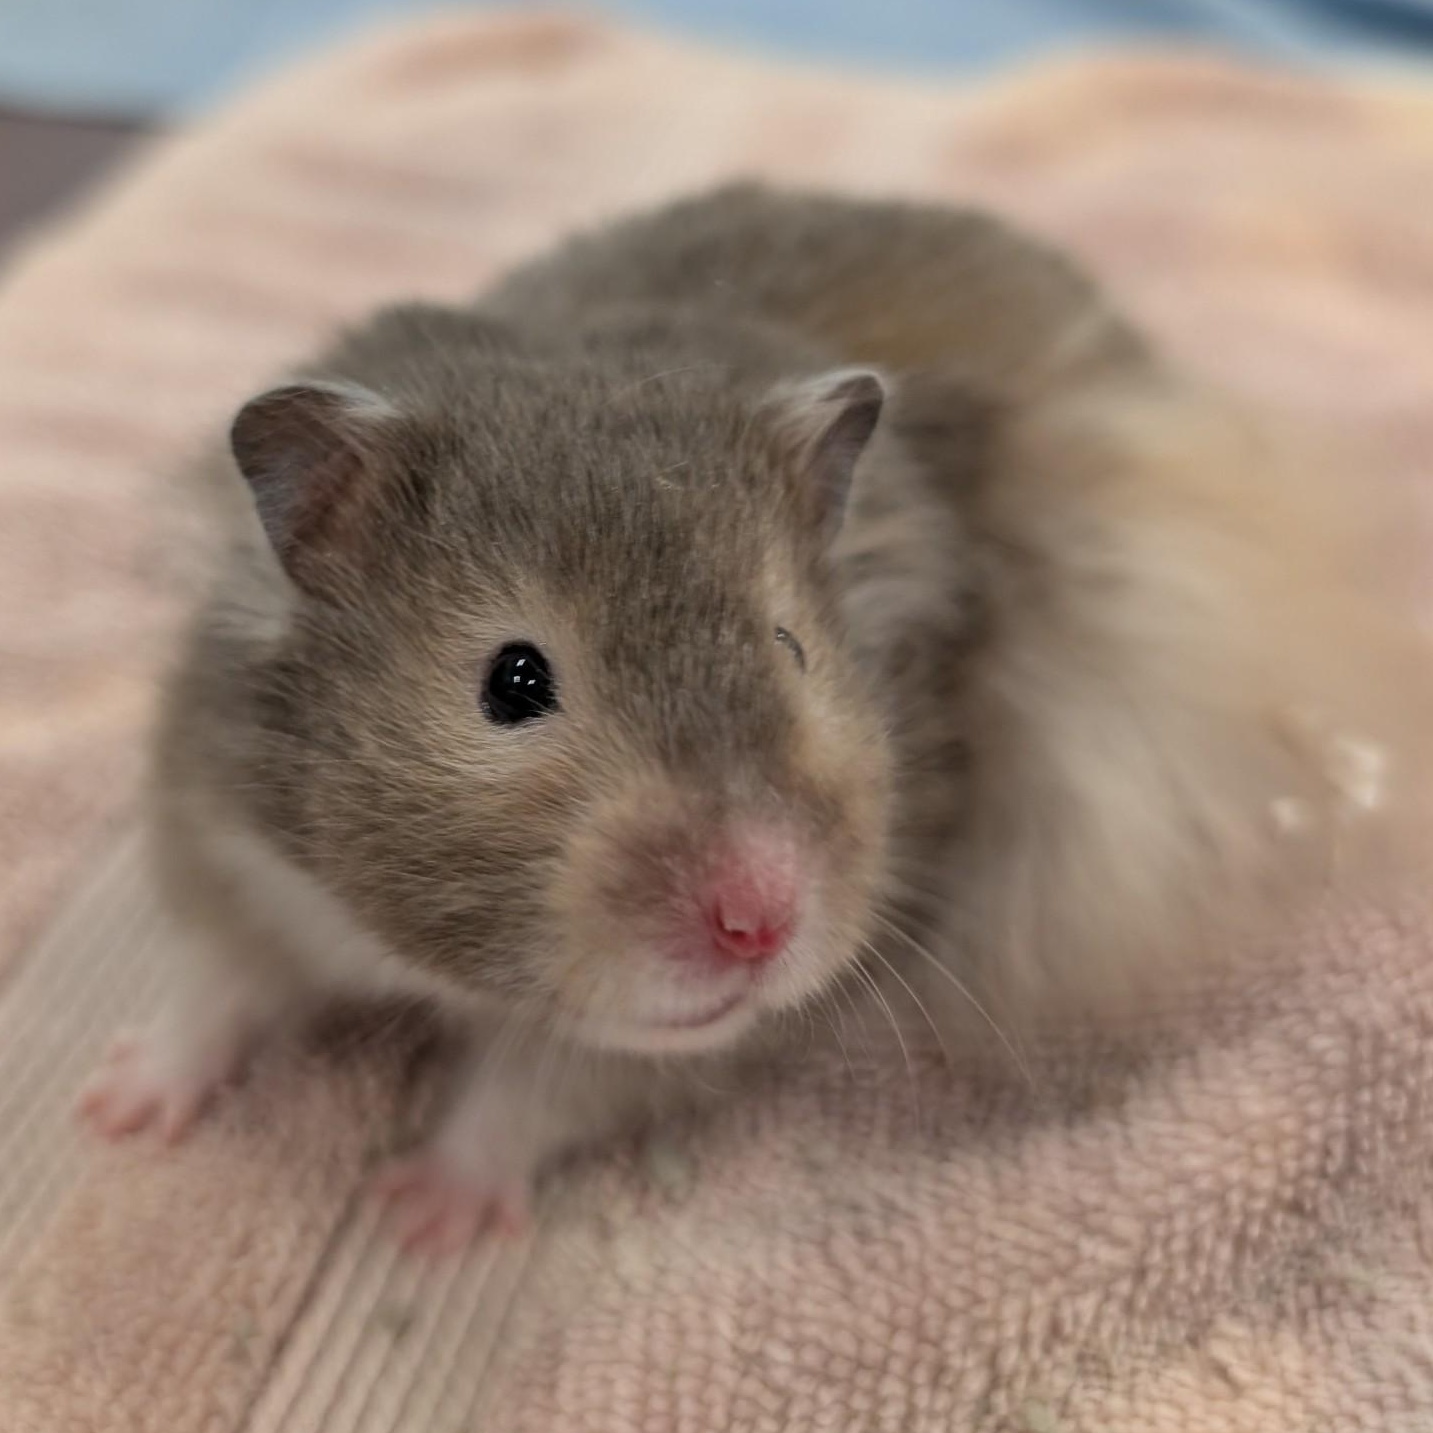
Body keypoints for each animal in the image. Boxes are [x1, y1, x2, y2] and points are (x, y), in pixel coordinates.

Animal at [79, 182, 1433, 1253]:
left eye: (792, 645)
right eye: (512, 681)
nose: (759, 925)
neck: (421, 947)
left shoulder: (654, 1045)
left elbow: (523, 1098)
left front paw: (416, 1217)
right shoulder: (221, 832)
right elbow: (215, 985)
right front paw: (120, 1111)